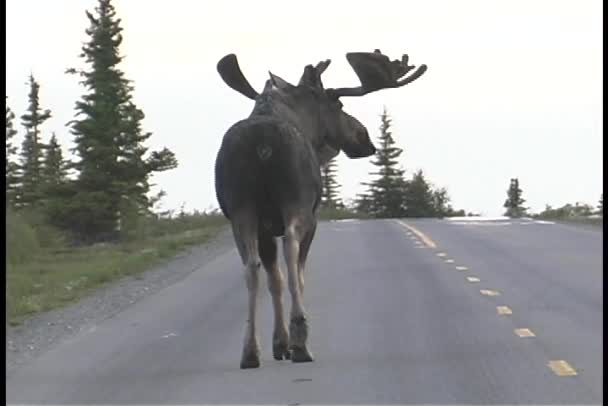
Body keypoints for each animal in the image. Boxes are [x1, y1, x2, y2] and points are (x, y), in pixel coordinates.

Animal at [214, 50, 428, 368]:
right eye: (338, 104)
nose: (365, 139)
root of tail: (263, 146)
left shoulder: (263, 225)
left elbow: (274, 279)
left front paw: (279, 342)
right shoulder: (308, 217)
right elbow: (296, 276)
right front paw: (289, 340)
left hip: (242, 211)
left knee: (251, 267)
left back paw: (250, 351)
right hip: (296, 204)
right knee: (291, 248)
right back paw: (301, 341)